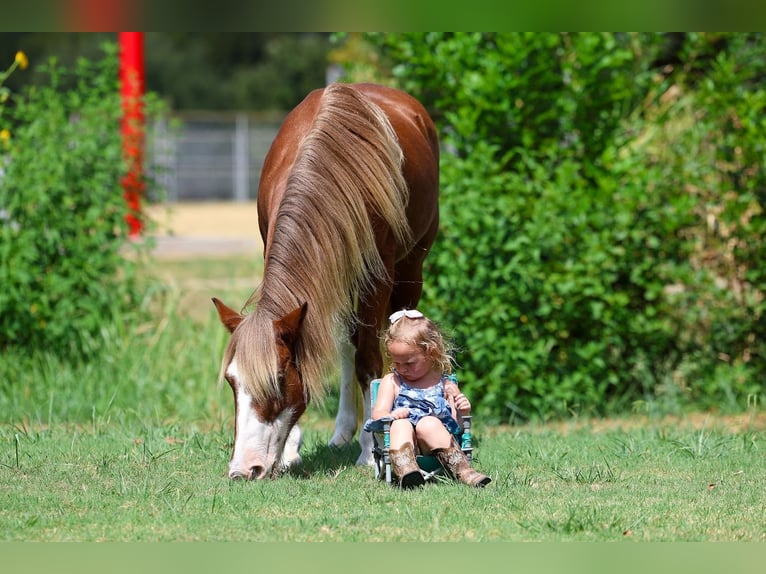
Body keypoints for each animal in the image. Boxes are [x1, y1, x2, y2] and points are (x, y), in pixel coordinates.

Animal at [212, 82, 439, 479]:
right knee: (347, 339)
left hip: (411, 270)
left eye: (277, 380)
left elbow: (368, 358)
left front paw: (369, 452)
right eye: (231, 381)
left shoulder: (375, 277)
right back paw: (342, 430)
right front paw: (291, 449)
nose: (244, 469)